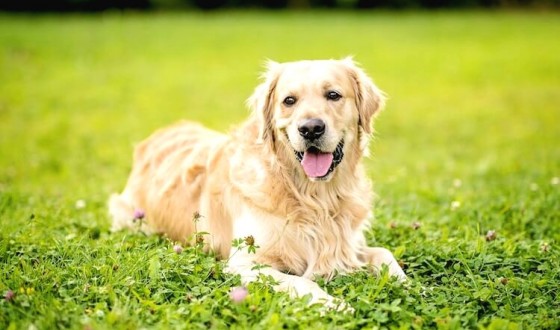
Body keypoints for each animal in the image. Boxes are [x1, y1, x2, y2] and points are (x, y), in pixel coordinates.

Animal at [109, 58, 404, 310]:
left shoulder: (348, 245)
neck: (313, 196)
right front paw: (333, 304)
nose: (310, 129)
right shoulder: (243, 262)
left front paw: (406, 283)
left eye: (333, 95)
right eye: (289, 100)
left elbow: (384, 253)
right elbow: (302, 281)